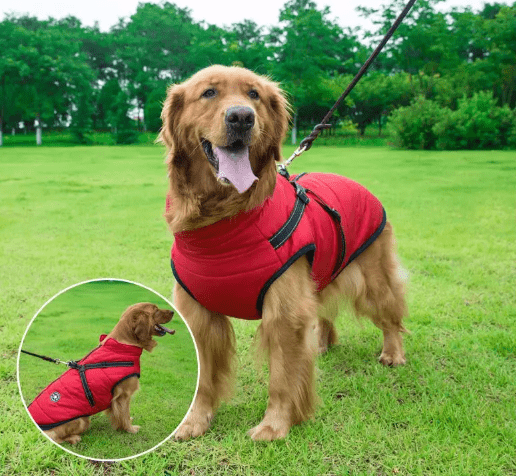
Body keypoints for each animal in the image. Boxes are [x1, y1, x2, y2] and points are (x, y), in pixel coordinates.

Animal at [28, 304, 175, 444]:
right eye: (156, 309)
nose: (173, 311)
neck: (123, 345)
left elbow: (122, 415)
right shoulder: (123, 395)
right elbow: (124, 414)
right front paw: (130, 429)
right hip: (82, 420)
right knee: (55, 438)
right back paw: (74, 438)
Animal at [161, 65, 408, 440]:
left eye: (254, 95)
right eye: (208, 93)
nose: (242, 117)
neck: (225, 222)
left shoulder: (284, 309)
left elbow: (282, 377)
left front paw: (275, 426)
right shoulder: (198, 312)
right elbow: (204, 377)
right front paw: (194, 421)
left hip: (373, 278)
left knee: (390, 315)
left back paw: (392, 353)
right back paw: (320, 344)